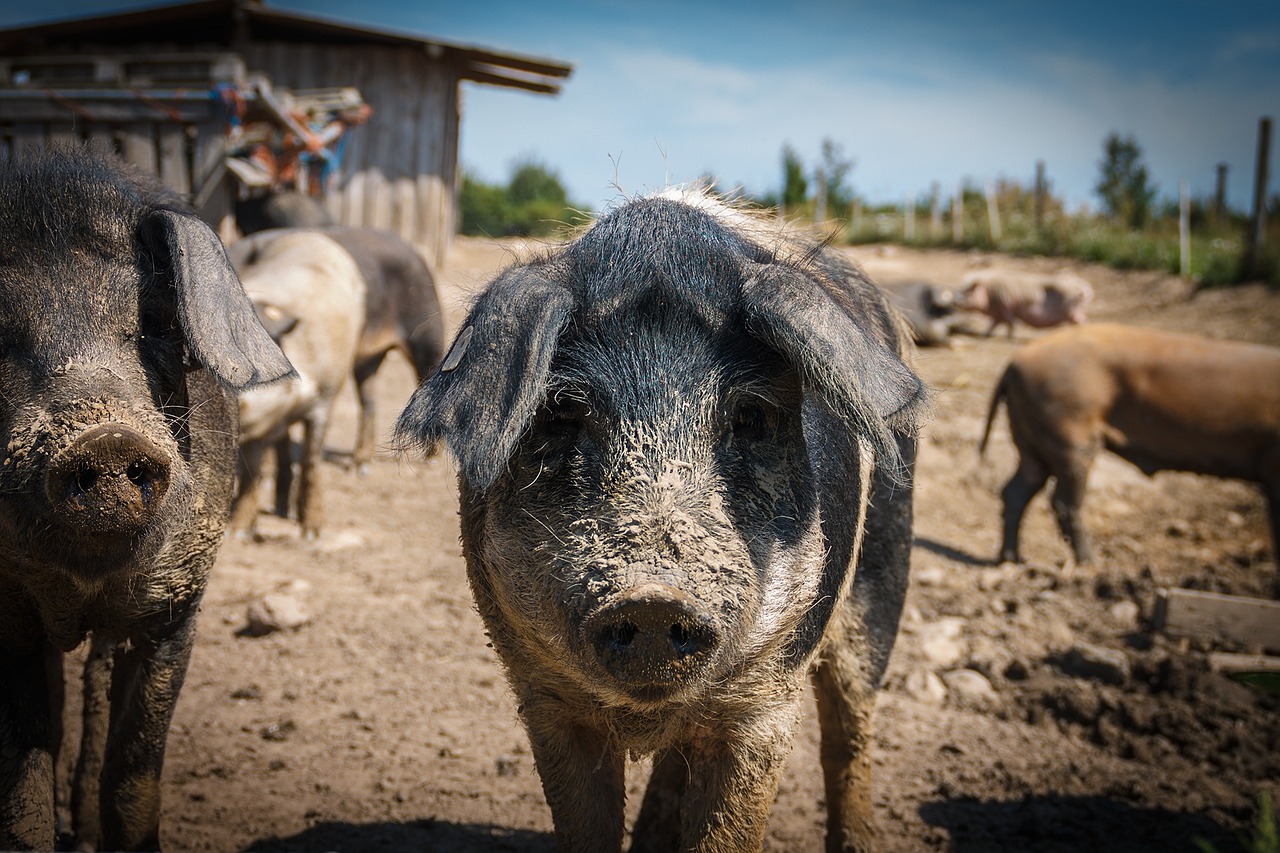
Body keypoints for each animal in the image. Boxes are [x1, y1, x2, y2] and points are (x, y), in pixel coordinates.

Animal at [0, 146, 293, 845]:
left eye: (154, 323)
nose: (105, 437)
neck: (80, 588)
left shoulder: (177, 601)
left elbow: (134, 773)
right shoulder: (7, 610)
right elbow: (22, 784)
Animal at [394, 188, 926, 850]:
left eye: (750, 416)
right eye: (561, 413)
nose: (652, 599)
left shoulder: (766, 705)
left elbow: (730, 829)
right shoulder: (544, 696)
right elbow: (585, 826)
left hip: (884, 577)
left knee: (851, 724)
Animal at [962, 266, 1090, 335]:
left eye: (967, 292)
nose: (956, 300)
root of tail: (1085, 288)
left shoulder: (1005, 306)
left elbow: (1010, 322)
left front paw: (1009, 337)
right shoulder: (998, 312)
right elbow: (994, 323)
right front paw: (985, 334)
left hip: (1072, 310)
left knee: (1079, 321)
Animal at [977, 322, 1280, 589]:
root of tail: (1015, 362)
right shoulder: (1272, 459)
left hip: (1031, 442)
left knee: (1016, 491)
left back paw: (1013, 560)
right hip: (1068, 435)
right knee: (1063, 501)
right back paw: (1091, 564)